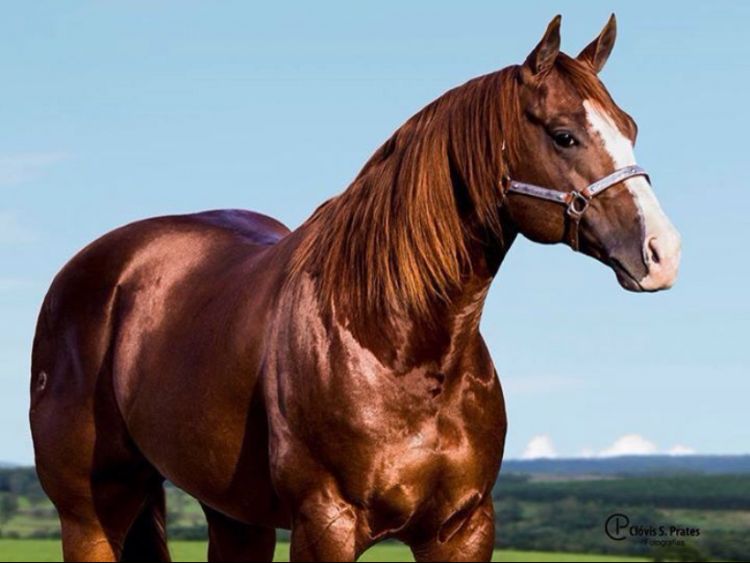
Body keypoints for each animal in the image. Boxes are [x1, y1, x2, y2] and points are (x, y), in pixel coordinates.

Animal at [30, 14, 680, 562]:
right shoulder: (327, 526)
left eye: (630, 127)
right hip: (90, 515)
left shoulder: (464, 529)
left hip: (235, 517)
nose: (663, 252)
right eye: (565, 135)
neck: (397, 345)